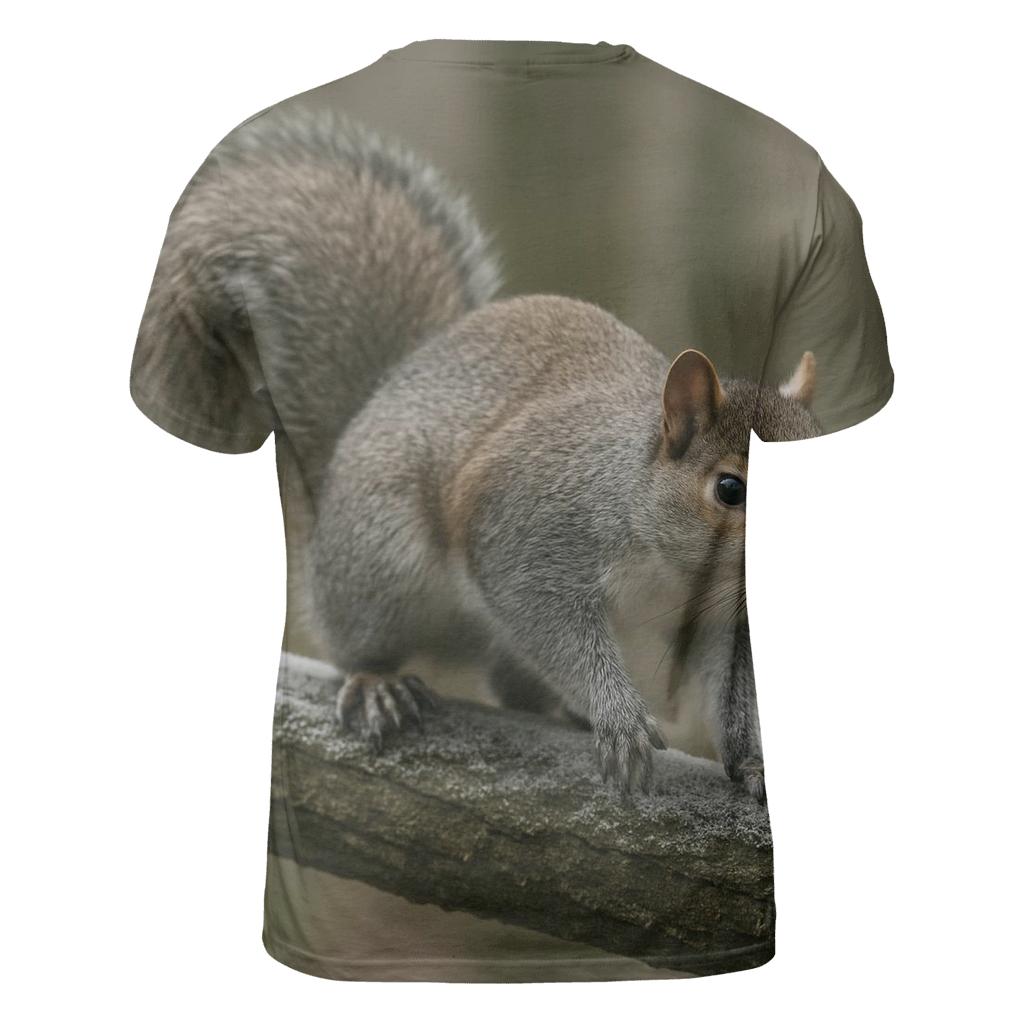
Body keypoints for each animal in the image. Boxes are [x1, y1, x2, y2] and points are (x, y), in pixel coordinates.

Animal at [158, 111, 821, 801]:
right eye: (730, 489)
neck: (673, 569)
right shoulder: (528, 528)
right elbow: (551, 622)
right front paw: (617, 717)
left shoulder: (724, 621)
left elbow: (734, 694)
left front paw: (756, 763)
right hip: (381, 562)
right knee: (359, 643)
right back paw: (378, 686)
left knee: (510, 682)